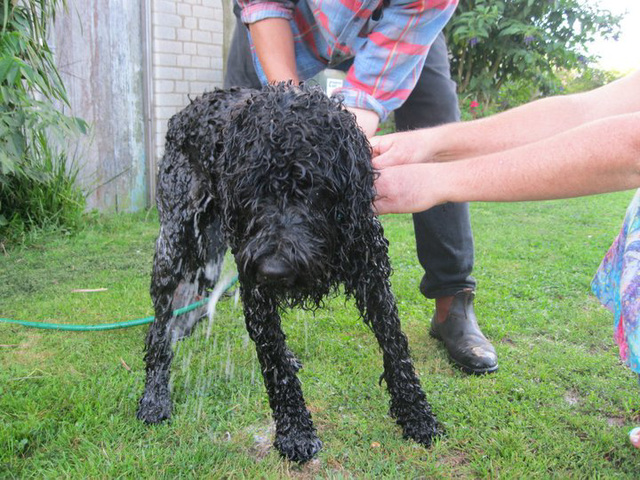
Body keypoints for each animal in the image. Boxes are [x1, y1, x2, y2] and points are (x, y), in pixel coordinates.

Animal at [138, 82, 440, 462]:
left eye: (311, 186)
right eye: (248, 189)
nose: (273, 269)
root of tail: (185, 112)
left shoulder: (372, 274)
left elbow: (395, 345)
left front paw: (416, 413)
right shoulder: (256, 290)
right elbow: (274, 361)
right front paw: (295, 430)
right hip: (175, 244)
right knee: (159, 329)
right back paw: (154, 394)